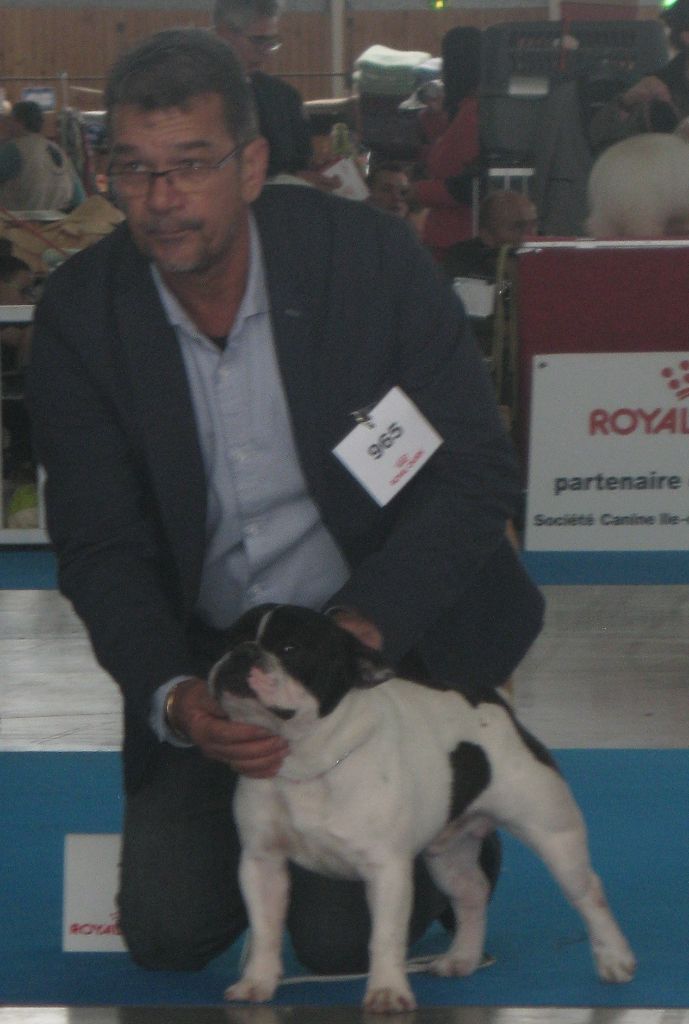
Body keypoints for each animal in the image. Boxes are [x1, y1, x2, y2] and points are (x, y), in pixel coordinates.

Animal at [209, 603, 636, 1014]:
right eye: (229, 640)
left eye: (290, 649)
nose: (242, 653)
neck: (304, 759)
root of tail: (497, 703)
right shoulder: (261, 862)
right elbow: (265, 929)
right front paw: (257, 981)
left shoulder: (386, 870)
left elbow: (384, 937)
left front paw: (386, 992)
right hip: (447, 854)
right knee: (471, 892)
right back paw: (462, 958)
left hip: (552, 832)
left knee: (588, 892)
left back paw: (615, 959)